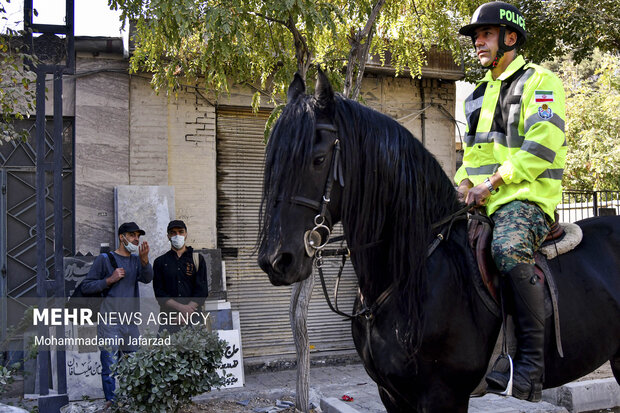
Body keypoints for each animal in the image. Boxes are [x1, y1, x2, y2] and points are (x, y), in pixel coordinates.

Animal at [256, 71, 620, 408]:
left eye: (317, 160)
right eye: (271, 160)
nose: (276, 260)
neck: (417, 271)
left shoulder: (443, 397)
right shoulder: (391, 394)